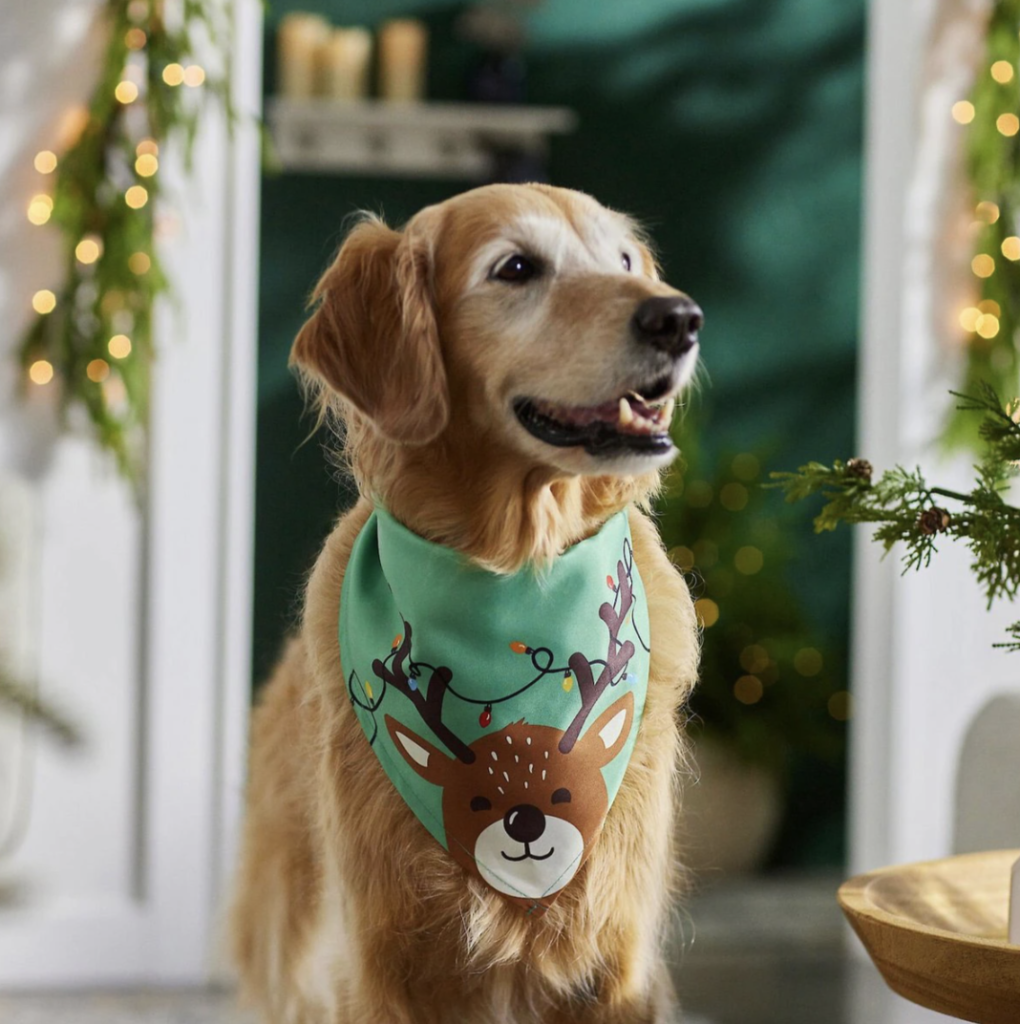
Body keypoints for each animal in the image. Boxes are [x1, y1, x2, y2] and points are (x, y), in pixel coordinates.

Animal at [232, 186, 704, 1024]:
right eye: (515, 268)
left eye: (623, 259)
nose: (679, 318)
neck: (513, 574)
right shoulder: (381, 963)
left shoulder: (615, 962)